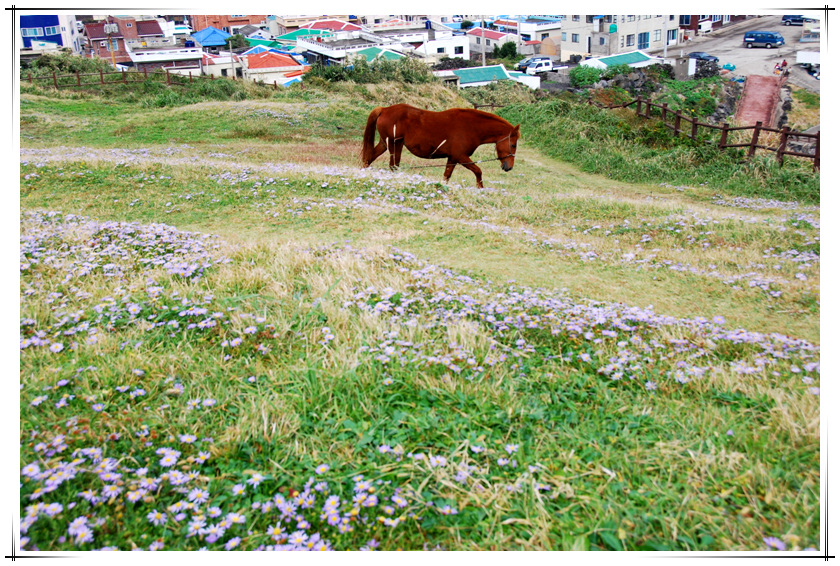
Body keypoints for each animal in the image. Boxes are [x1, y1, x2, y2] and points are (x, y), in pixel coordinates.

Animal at [360, 104, 520, 189]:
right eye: (513, 144)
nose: (509, 167)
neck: (471, 127)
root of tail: (385, 109)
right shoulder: (461, 157)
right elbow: (478, 171)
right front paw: (480, 189)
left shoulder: (453, 158)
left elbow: (446, 176)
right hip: (395, 145)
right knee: (393, 166)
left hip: (384, 143)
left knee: (369, 158)